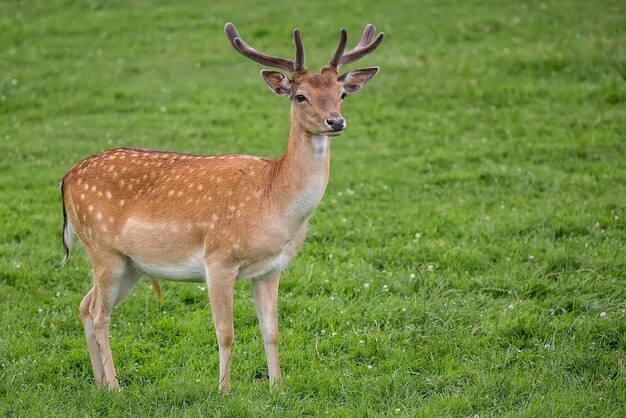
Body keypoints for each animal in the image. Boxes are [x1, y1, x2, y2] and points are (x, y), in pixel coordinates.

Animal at [59, 21, 380, 390]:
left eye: (341, 94)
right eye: (300, 96)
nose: (335, 122)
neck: (273, 201)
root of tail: (65, 180)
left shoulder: (271, 269)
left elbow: (272, 330)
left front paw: (278, 387)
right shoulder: (218, 259)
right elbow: (225, 331)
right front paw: (224, 390)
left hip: (130, 264)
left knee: (85, 304)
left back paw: (99, 381)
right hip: (102, 250)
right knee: (100, 313)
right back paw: (115, 386)